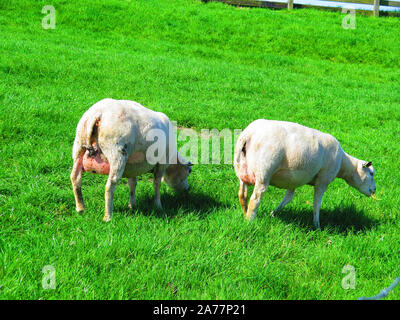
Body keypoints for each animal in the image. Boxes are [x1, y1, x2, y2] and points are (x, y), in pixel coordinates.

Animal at [233, 119, 376, 229]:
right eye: (371, 173)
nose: (374, 190)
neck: (343, 164)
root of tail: (249, 134)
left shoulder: (292, 181)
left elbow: (287, 198)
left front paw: (273, 213)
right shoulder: (323, 180)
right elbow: (316, 203)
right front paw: (317, 225)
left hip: (242, 170)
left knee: (242, 195)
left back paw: (244, 214)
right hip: (264, 172)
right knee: (255, 199)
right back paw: (250, 221)